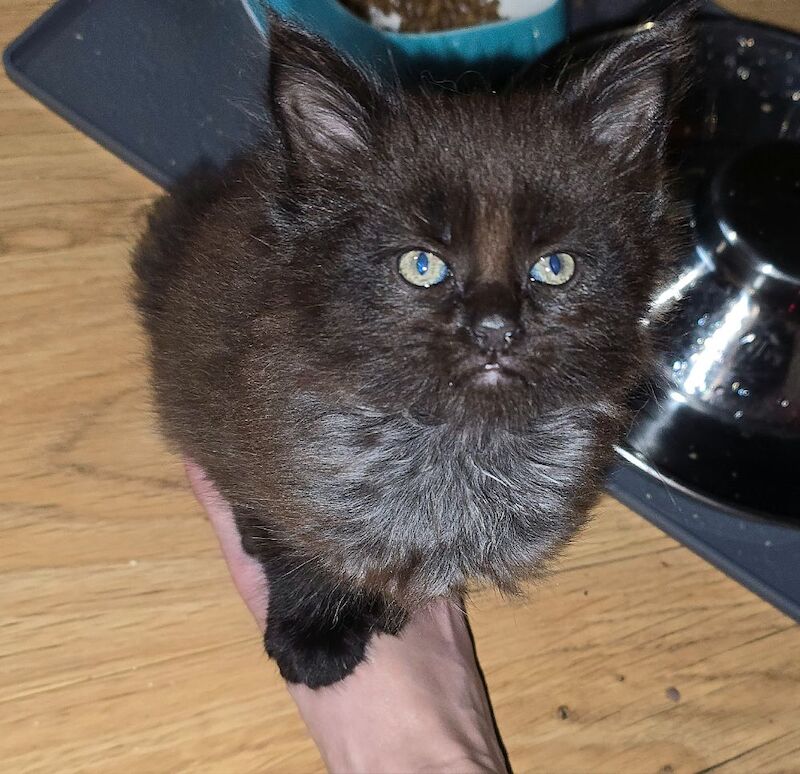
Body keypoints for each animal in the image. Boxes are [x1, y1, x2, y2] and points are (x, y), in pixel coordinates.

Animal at [134, 12, 692, 688]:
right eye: (421, 266)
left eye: (554, 268)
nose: (494, 327)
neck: (454, 445)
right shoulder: (246, 446)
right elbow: (301, 549)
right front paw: (315, 632)